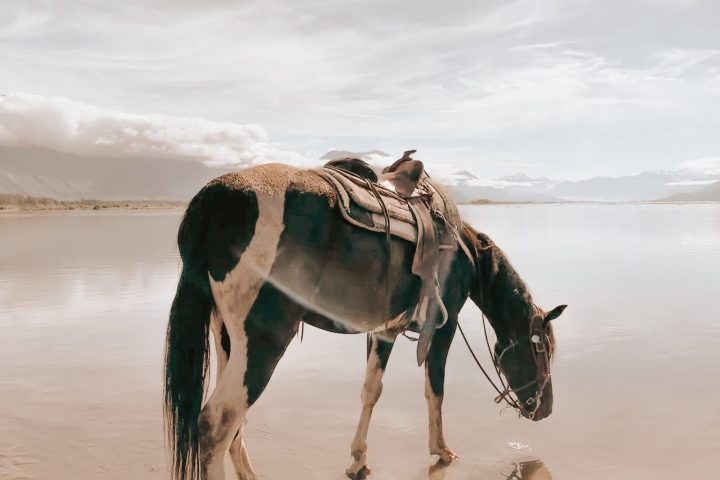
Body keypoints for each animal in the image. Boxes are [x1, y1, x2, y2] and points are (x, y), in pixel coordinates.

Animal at [163, 163, 567, 480]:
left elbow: (371, 390)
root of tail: (212, 199)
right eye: (542, 349)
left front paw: (358, 459)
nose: (545, 409)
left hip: (228, 339)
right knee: (216, 425)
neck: (464, 251)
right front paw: (441, 449)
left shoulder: (384, 331)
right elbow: (435, 390)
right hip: (264, 340)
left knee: (234, 421)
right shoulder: (444, 325)